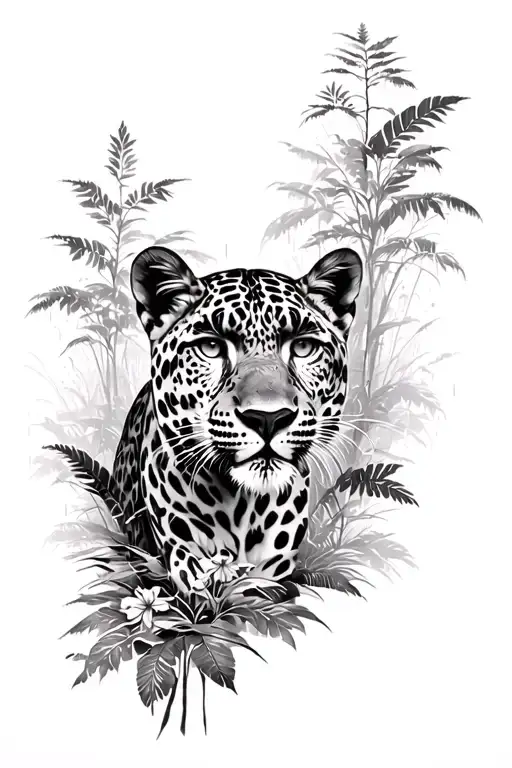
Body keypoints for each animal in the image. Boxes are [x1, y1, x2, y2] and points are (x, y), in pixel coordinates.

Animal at [112, 245, 362, 594]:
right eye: (211, 347)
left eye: (303, 346)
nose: (268, 417)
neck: (244, 508)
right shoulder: (186, 559)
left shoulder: (272, 571)